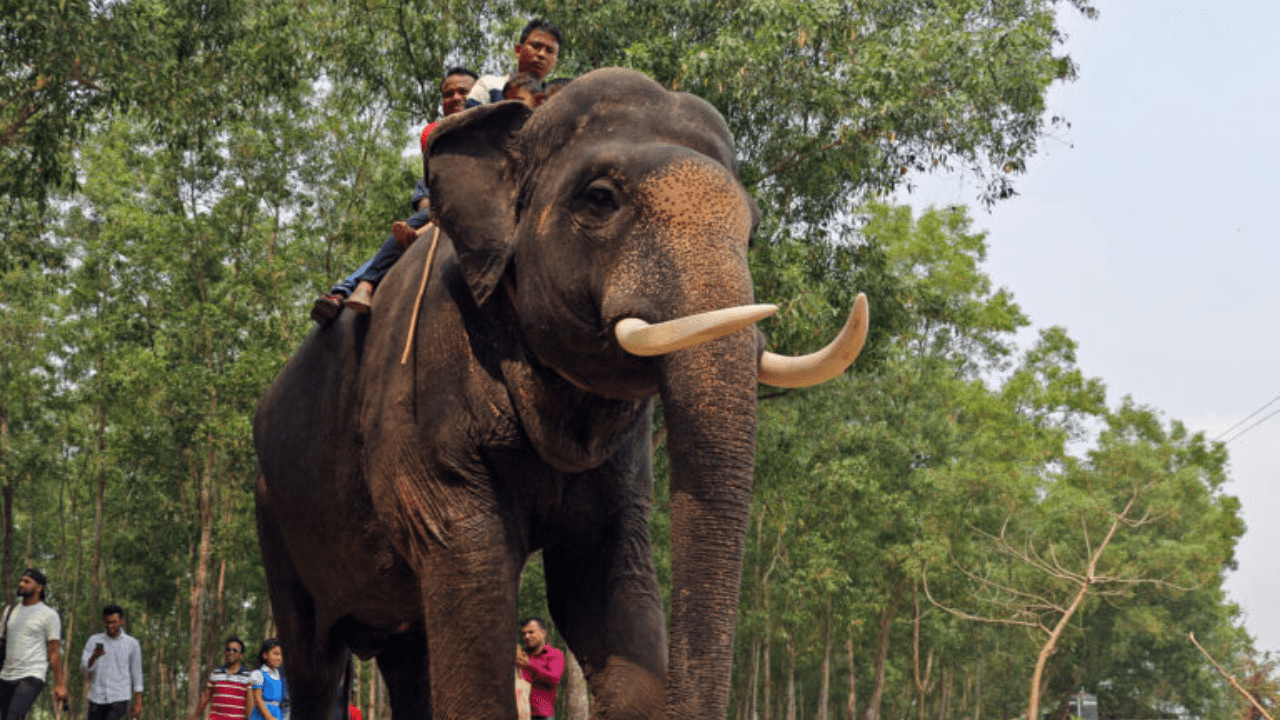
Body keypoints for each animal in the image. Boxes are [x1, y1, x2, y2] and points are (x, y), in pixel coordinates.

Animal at [253, 67, 868, 720]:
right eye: (600, 198)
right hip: (276, 514)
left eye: (751, 233)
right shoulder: (421, 393)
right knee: (315, 660)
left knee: (407, 651)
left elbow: (600, 578)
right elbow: (470, 561)